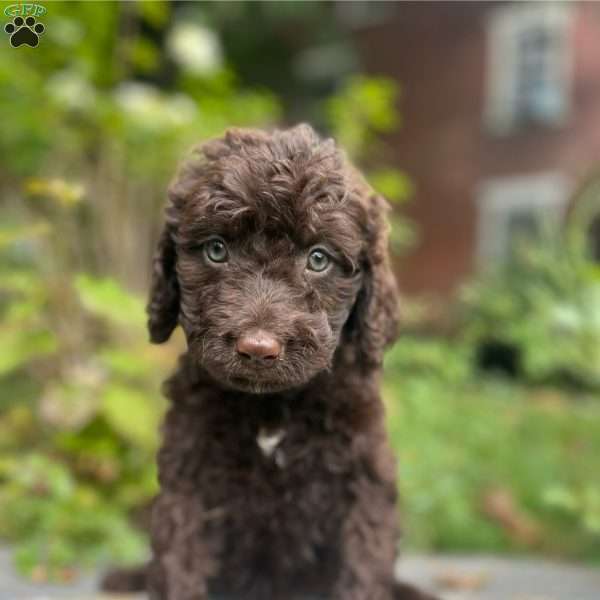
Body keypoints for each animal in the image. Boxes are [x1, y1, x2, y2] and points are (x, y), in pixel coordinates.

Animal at [120, 124, 436, 596]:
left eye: (318, 258)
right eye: (216, 250)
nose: (258, 347)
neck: (272, 407)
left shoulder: (363, 476)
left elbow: (364, 561)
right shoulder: (188, 474)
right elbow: (178, 555)